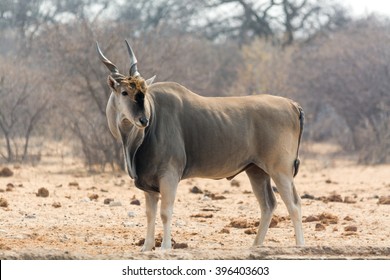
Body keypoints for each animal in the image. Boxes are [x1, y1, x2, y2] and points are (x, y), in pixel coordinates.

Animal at [96, 40, 304, 252]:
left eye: (143, 93)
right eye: (124, 92)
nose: (143, 120)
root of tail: (292, 105)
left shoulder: (169, 175)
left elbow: (165, 212)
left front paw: (165, 247)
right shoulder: (149, 187)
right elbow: (150, 215)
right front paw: (146, 247)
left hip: (280, 170)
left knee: (294, 204)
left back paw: (300, 247)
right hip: (256, 171)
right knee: (268, 205)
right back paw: (255, 247)